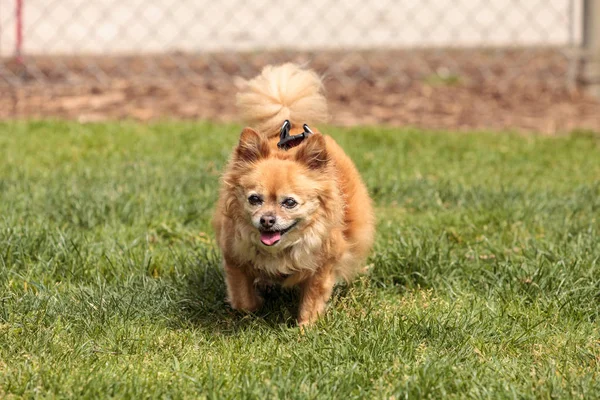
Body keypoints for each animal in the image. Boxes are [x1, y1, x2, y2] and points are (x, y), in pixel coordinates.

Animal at [212, 62, 376, 324]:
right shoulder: (234, 257)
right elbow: (242, 298)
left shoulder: (323, 265)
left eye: (289, 203)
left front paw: (306, 326)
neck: (280, 250)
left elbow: (313, 297)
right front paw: (252, 308)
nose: (267, 220)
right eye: (254, 199)